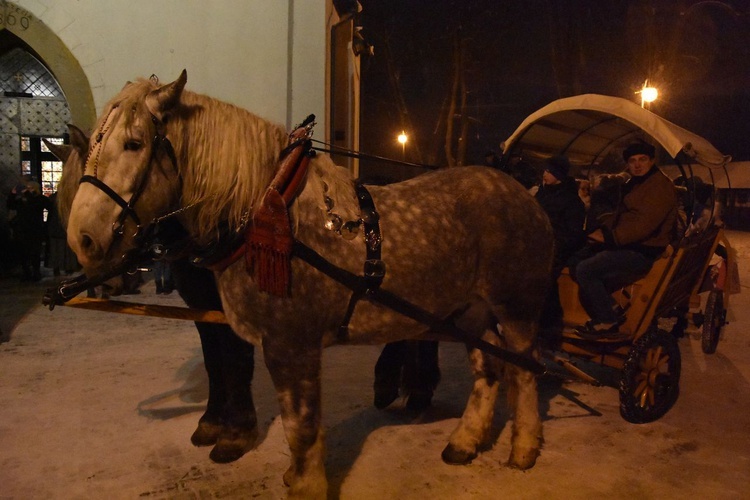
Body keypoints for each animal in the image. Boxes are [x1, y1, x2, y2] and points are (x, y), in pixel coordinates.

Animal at [50, 127, 260, 462]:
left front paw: (238, 432)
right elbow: (214, 359)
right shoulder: (200, 304)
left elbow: (236, 358)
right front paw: (212, 422)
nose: (104, 282)